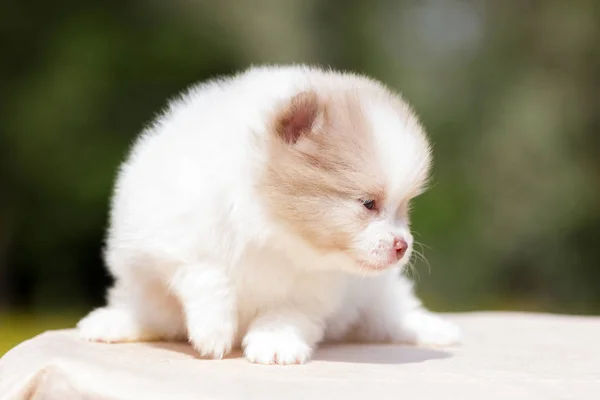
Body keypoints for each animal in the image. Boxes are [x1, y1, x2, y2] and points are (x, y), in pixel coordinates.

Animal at [77, 65, 462, 366]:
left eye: (403, 208)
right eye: (368, 203)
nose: (403, 245)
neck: (273, 231)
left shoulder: (310, 287)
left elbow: (285, 312)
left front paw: (276, 343)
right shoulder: (172, 233)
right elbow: (205, 273)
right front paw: (213, 330)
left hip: (376, 295)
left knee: (392, 313)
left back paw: (432, 329)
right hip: (144, 287)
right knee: (147, 310)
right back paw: (111, 322)